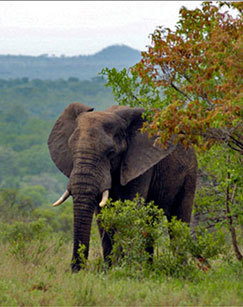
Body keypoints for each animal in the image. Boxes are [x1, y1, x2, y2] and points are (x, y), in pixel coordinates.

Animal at [47, 103, 197, 272]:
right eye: (71, 150)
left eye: (111, 152)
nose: (76, 270)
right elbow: (103, 216)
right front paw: (110, 270)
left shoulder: (139, 165)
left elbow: (129, 209)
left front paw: (125, 268)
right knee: (150, 222)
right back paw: (148, 268)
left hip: (190, 173)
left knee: (178, 219)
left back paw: (179, 268)